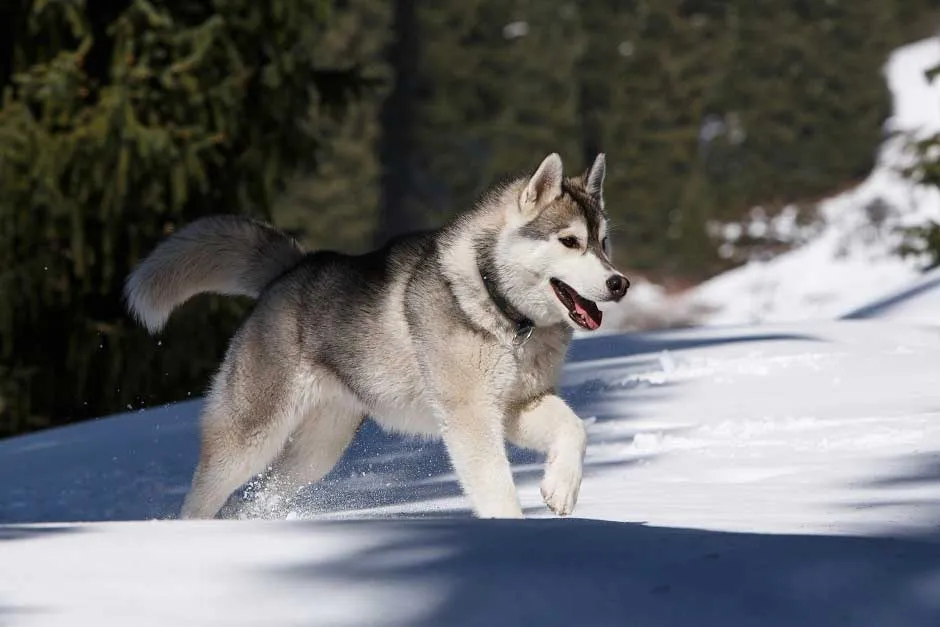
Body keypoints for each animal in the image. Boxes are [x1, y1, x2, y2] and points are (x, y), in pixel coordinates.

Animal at [123, 153, 624, 520]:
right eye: (569, 241)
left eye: (603, 243)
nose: (619, 283)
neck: (499, 308)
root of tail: (292, 269)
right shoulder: (470, 416)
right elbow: (496, 488)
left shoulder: (517, 404)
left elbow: (575, 429)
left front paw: (561, 488)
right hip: (251, 435)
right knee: (203, 496)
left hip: (318, 450)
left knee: (259, 497)